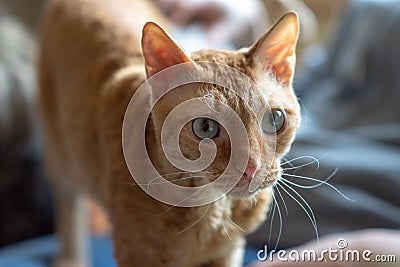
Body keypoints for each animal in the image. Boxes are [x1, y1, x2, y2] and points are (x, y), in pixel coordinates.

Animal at [39, 1, 300, 266]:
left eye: (275, 119)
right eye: (205, 127)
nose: (252, 168)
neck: (212, 208)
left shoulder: (229, 251)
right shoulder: (136, 254)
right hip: (62, 155)